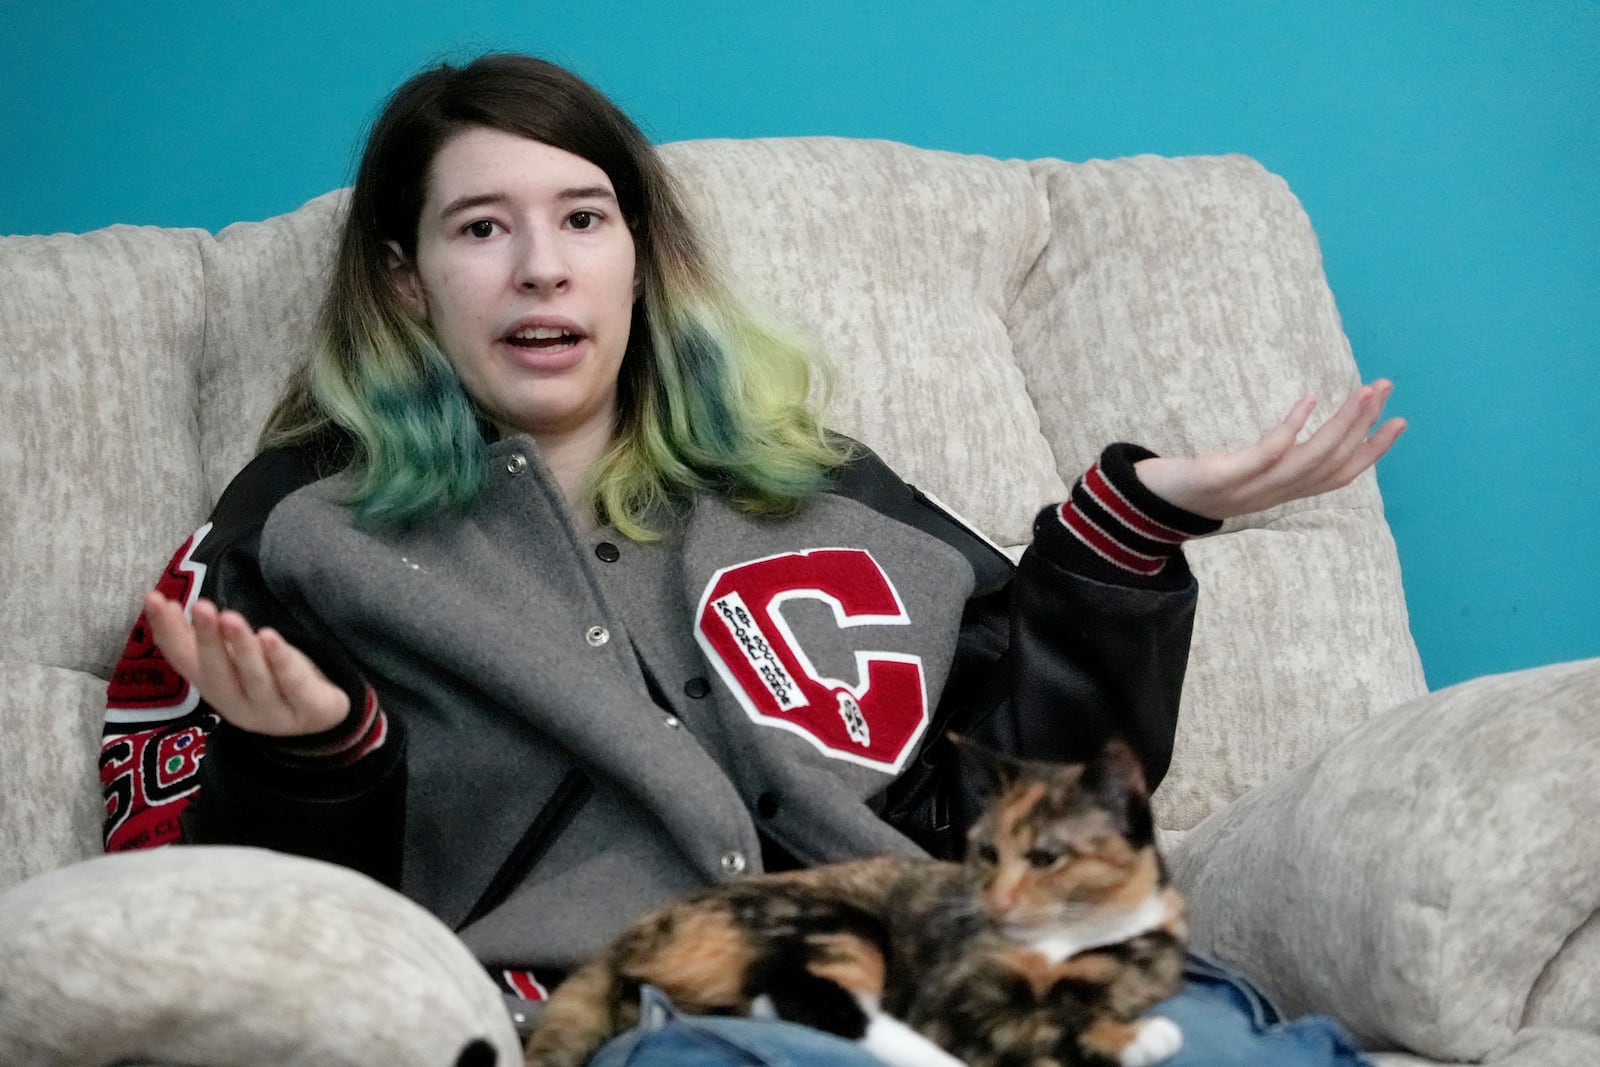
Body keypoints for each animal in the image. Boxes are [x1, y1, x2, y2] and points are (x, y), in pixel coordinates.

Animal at [524, 739, 1190, 1067]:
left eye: (1046, 858)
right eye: (985, 852)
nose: (995, 901)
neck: (1076, 943)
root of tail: (621, 942)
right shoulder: (949, 1002)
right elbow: (1036, 1026)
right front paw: (1128, 1039)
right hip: (838, 924)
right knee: (808, 1003)